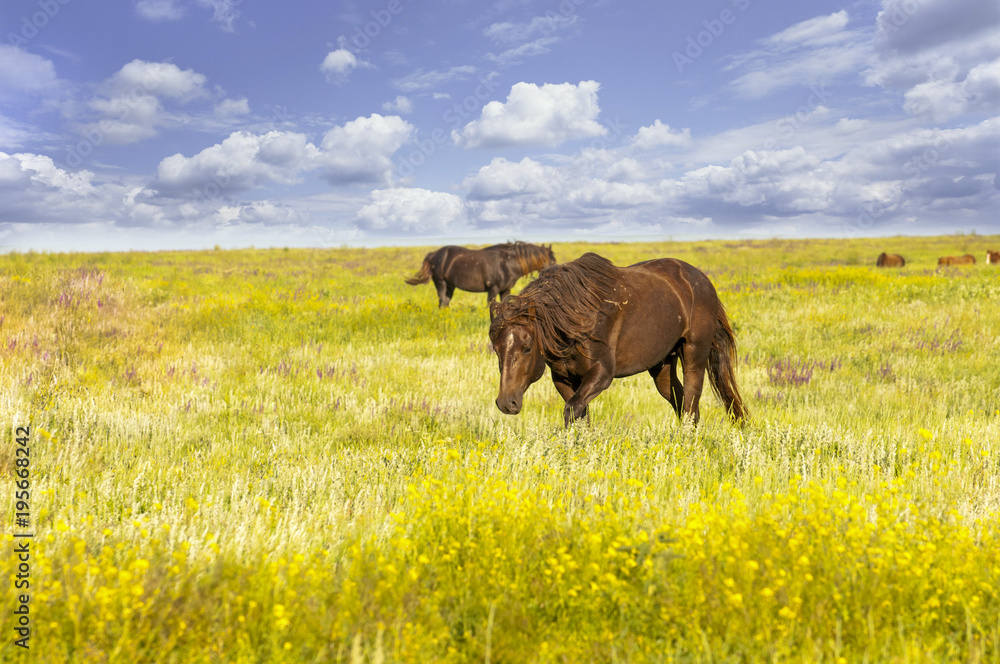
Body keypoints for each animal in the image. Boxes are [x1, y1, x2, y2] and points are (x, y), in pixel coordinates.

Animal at [408, 243, 564, 308]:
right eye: (552, 261)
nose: (557, 276)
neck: (507, 263)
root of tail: (433, 254)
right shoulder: (493, 289)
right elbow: (490, 304)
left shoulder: (505, 290)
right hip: (441, 282)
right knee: (442, 300)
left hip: (450, 286)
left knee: (445, 301)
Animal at [488, 252, 748, 428]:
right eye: (498, 350)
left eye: (527, 348)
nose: (506, 403)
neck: (578, 317)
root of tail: (703, 281)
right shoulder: (564, 379)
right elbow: (580, 418)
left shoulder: (602, 374)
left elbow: (572, 412)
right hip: (663, 366)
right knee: (681, 402)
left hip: (694, 355)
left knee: (691, 402)